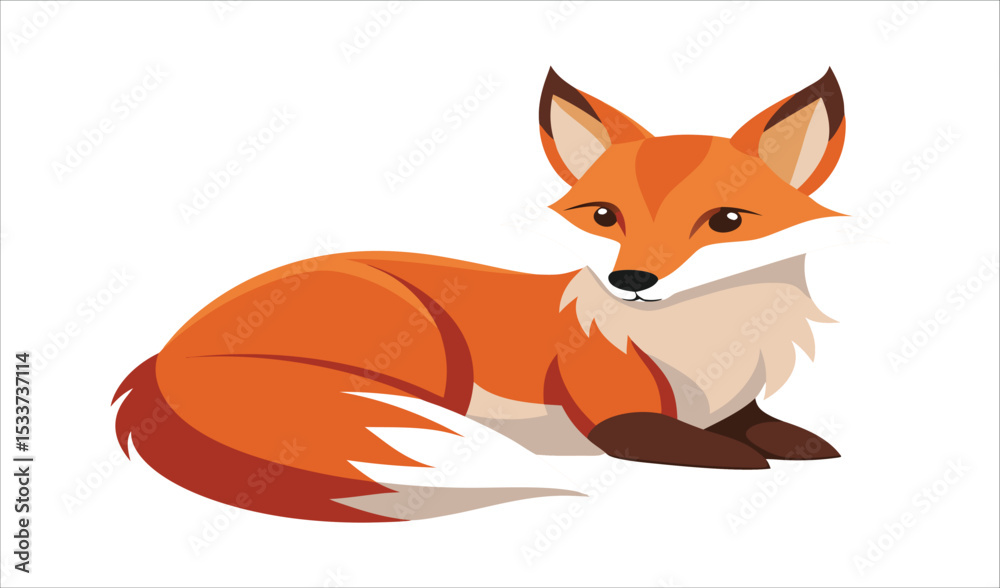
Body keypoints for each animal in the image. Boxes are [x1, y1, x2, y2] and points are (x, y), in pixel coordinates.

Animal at [113, 67, 847, 522]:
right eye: (604, 216)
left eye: (726, 221)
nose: (631, 282)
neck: (702, 348)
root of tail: (168, 348)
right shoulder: (614, 415)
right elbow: (695, 444)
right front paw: (744, 460)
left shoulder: (734, 402)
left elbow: (764, 427)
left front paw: (805, 443)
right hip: (418, 340)